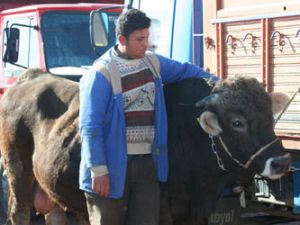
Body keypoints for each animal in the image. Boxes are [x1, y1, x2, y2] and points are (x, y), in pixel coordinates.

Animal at [0, 69, 292, 224]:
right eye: (237, 122)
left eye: (269, 114)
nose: (282, 161)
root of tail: (31, 76)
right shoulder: (161, 206)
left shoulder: (202, 204)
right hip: (17, 170)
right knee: (20, 211)